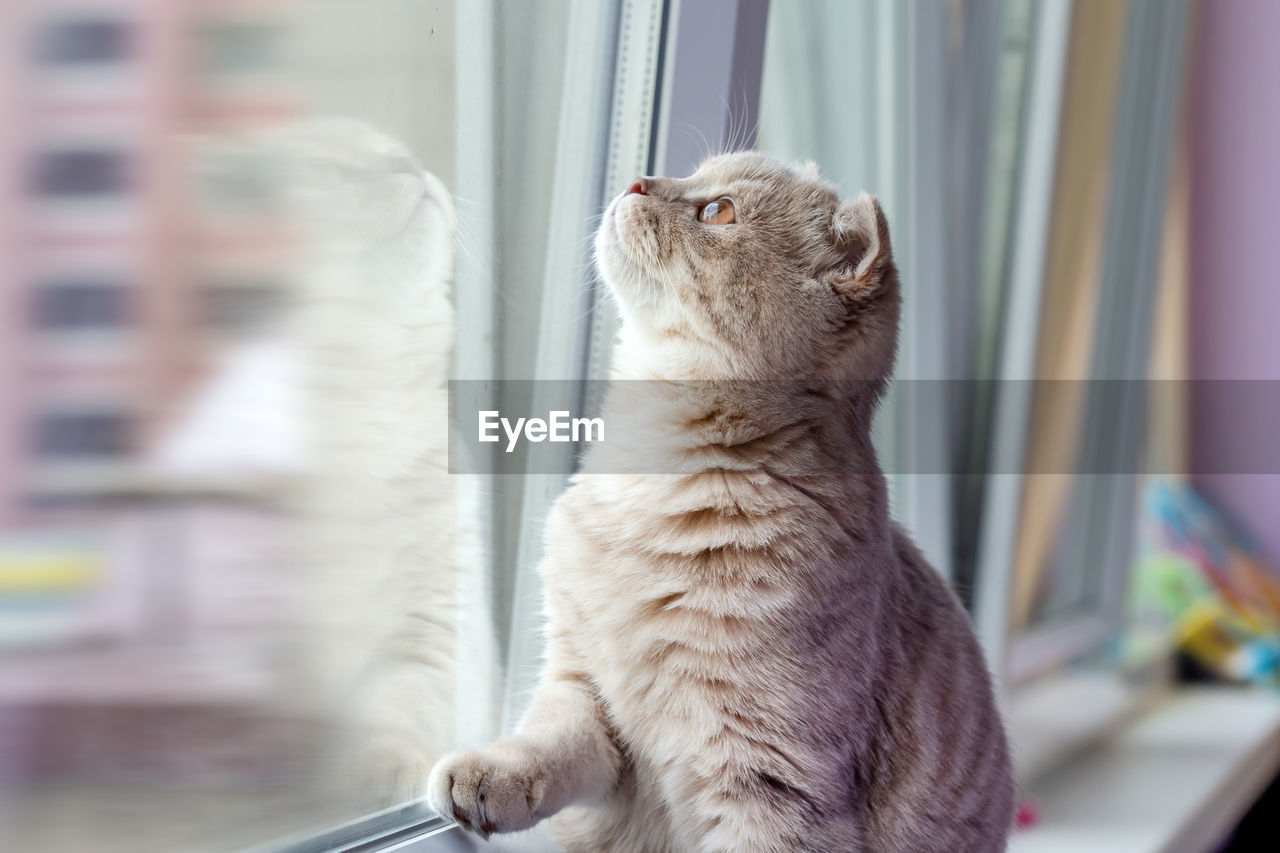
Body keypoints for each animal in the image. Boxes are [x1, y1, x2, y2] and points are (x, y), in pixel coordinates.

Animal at [430, 153, 1008, 850]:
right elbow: (547, 742)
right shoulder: (585, 690)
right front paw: (490, 774)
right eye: (690, 174)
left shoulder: (765, 782)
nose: (639, 182)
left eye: (718, 211)